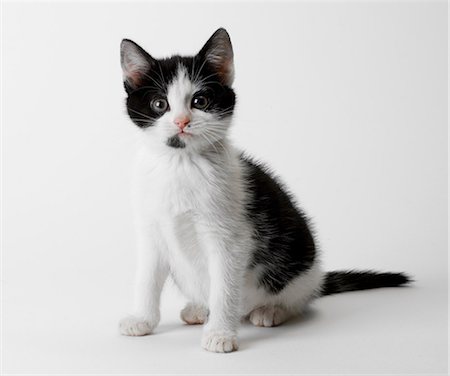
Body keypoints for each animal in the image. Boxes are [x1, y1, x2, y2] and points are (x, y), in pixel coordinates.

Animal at [118, 28, 410, 352]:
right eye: (160, 104)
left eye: (200, 100)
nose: (182, 121)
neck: (180, 165)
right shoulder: (151, 229)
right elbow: (146, 278)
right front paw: (142, 319)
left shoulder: (230, 238)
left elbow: (224, 288)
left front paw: (220, 334)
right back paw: (199, 308)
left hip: (299, 264)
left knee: (296, 300)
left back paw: (270, 310)